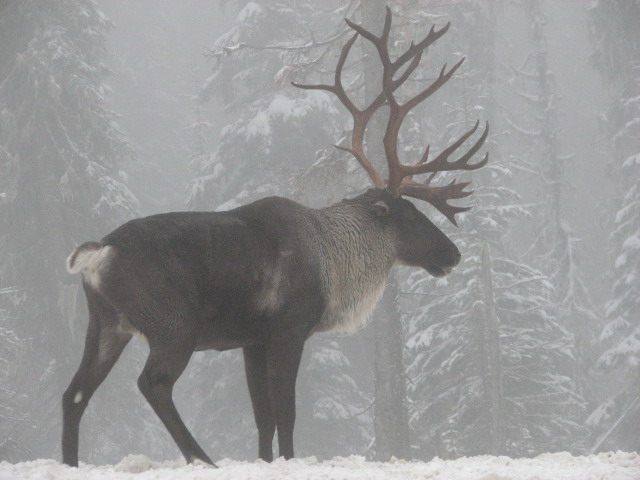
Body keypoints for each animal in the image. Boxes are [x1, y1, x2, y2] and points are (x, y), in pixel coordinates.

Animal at [62, 7, 488, 467]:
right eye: (410, 213)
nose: (453, 253)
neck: (334, 262)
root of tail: (96, 253)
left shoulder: (252, 339)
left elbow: (262, 415)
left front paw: (266, 460)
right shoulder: (289, 327)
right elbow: (286, 411)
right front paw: (288, 459)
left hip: (106, 324)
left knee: (74, 393)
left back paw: (70, 461)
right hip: (173, 323)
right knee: (152, 383)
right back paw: (203, 458)